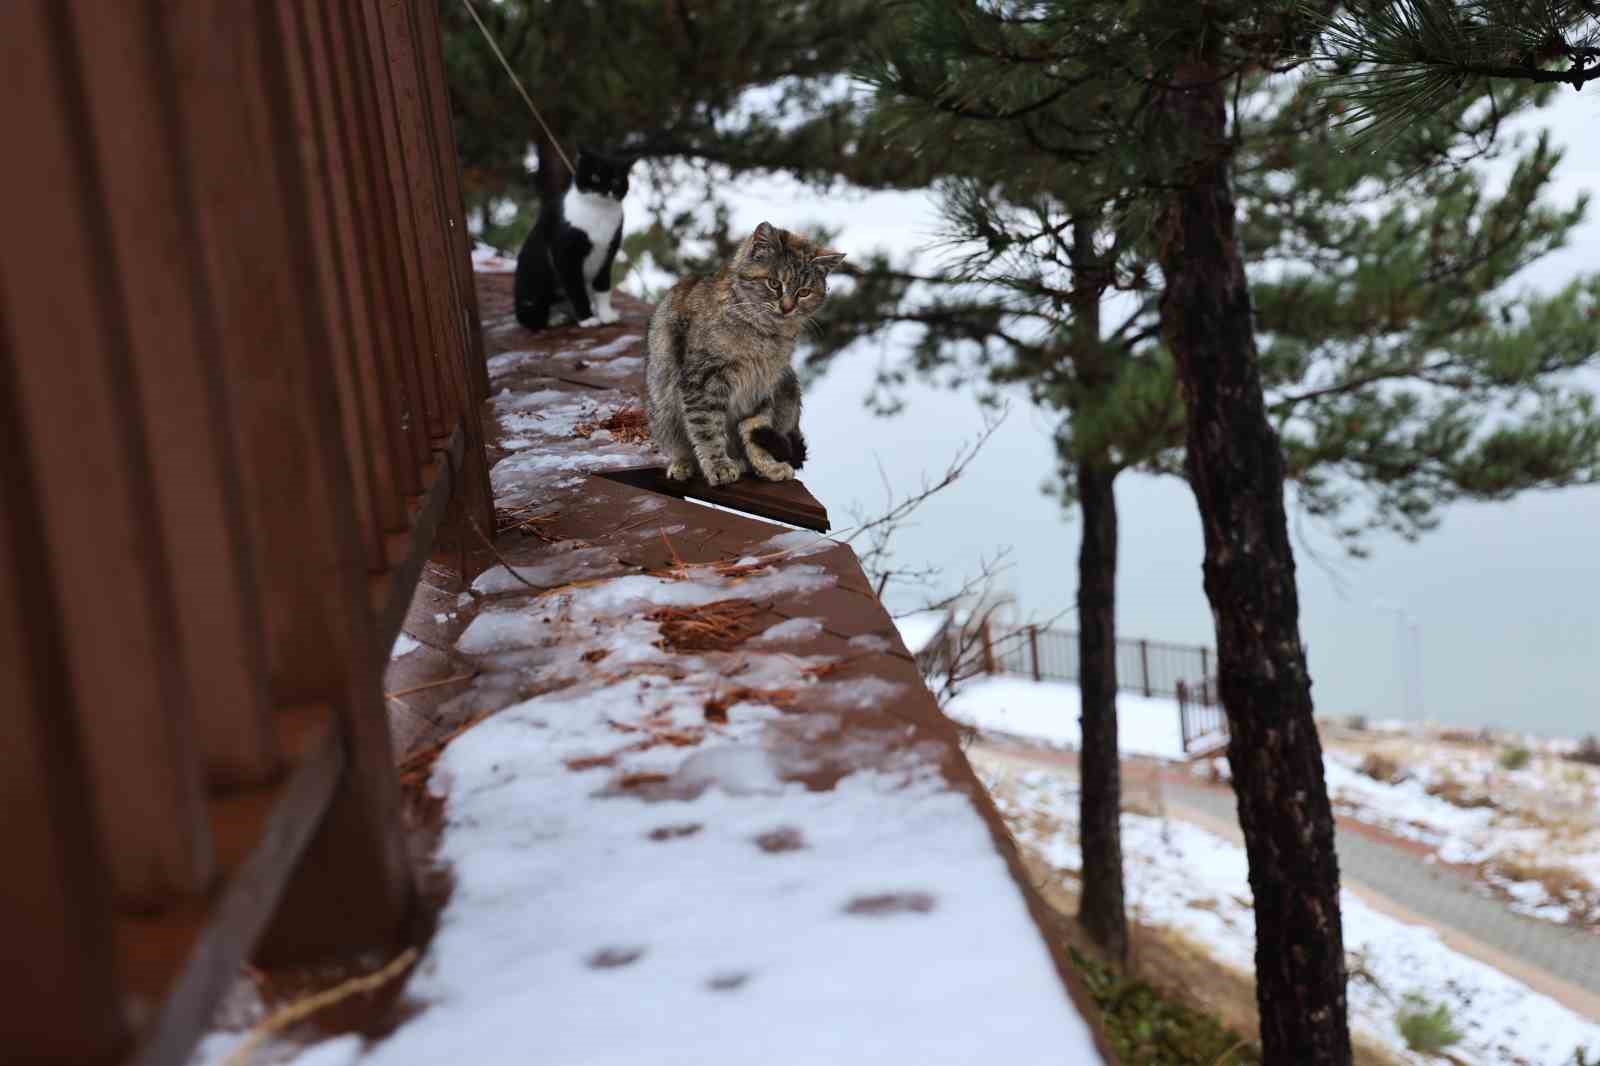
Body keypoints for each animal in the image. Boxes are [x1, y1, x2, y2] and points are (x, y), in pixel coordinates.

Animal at [515, 145, 633, 328]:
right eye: (595, 177)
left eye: (616, 181)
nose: (605, 190)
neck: (599, 213)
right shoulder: (565, 256)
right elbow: (577, 289)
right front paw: (587, 319)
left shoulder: (608, 253)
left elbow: (603, 286)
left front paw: (606, 315)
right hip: (536, 281)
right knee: (532, 318)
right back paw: (554, 318)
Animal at [646, 220, 851, 486]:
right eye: (774, 283)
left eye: (804, 292)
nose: (787, 308)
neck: (764, 334)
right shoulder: (702, 380)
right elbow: (707, 427)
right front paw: (719, 466)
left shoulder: (762, 387)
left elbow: (753, 429)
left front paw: (767, 466)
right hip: (663, 410)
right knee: (679, 442)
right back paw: (684, 463)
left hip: (789, 388)